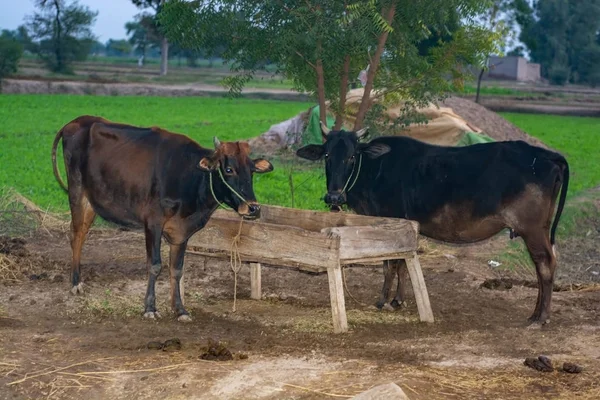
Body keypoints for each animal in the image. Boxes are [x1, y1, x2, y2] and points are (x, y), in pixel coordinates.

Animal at [52, 115, 274, 322]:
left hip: (91, 201)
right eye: (229, 169)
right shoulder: (153, 223)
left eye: (252, 171)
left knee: (79, 233)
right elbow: (155, 264)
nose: (253, 208)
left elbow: (176, 269)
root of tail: (78, 120)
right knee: (76, 235)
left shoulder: (181, 232)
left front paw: (180, 309)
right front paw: (150, 308)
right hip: (77, 192)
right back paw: (75, 283)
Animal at [298, 123, 568, 324]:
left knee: (545, 263)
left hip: (532, 229)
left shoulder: (392, 222)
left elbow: (390, 265)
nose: (334, 197)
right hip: (539, 229)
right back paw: (536, 312)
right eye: (327, 155)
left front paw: (383, 301)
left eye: (352, 156)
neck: (375, 170)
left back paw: (540, 317)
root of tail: (547, 155)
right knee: (543, 264)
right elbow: (402, 264)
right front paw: (398, 300)